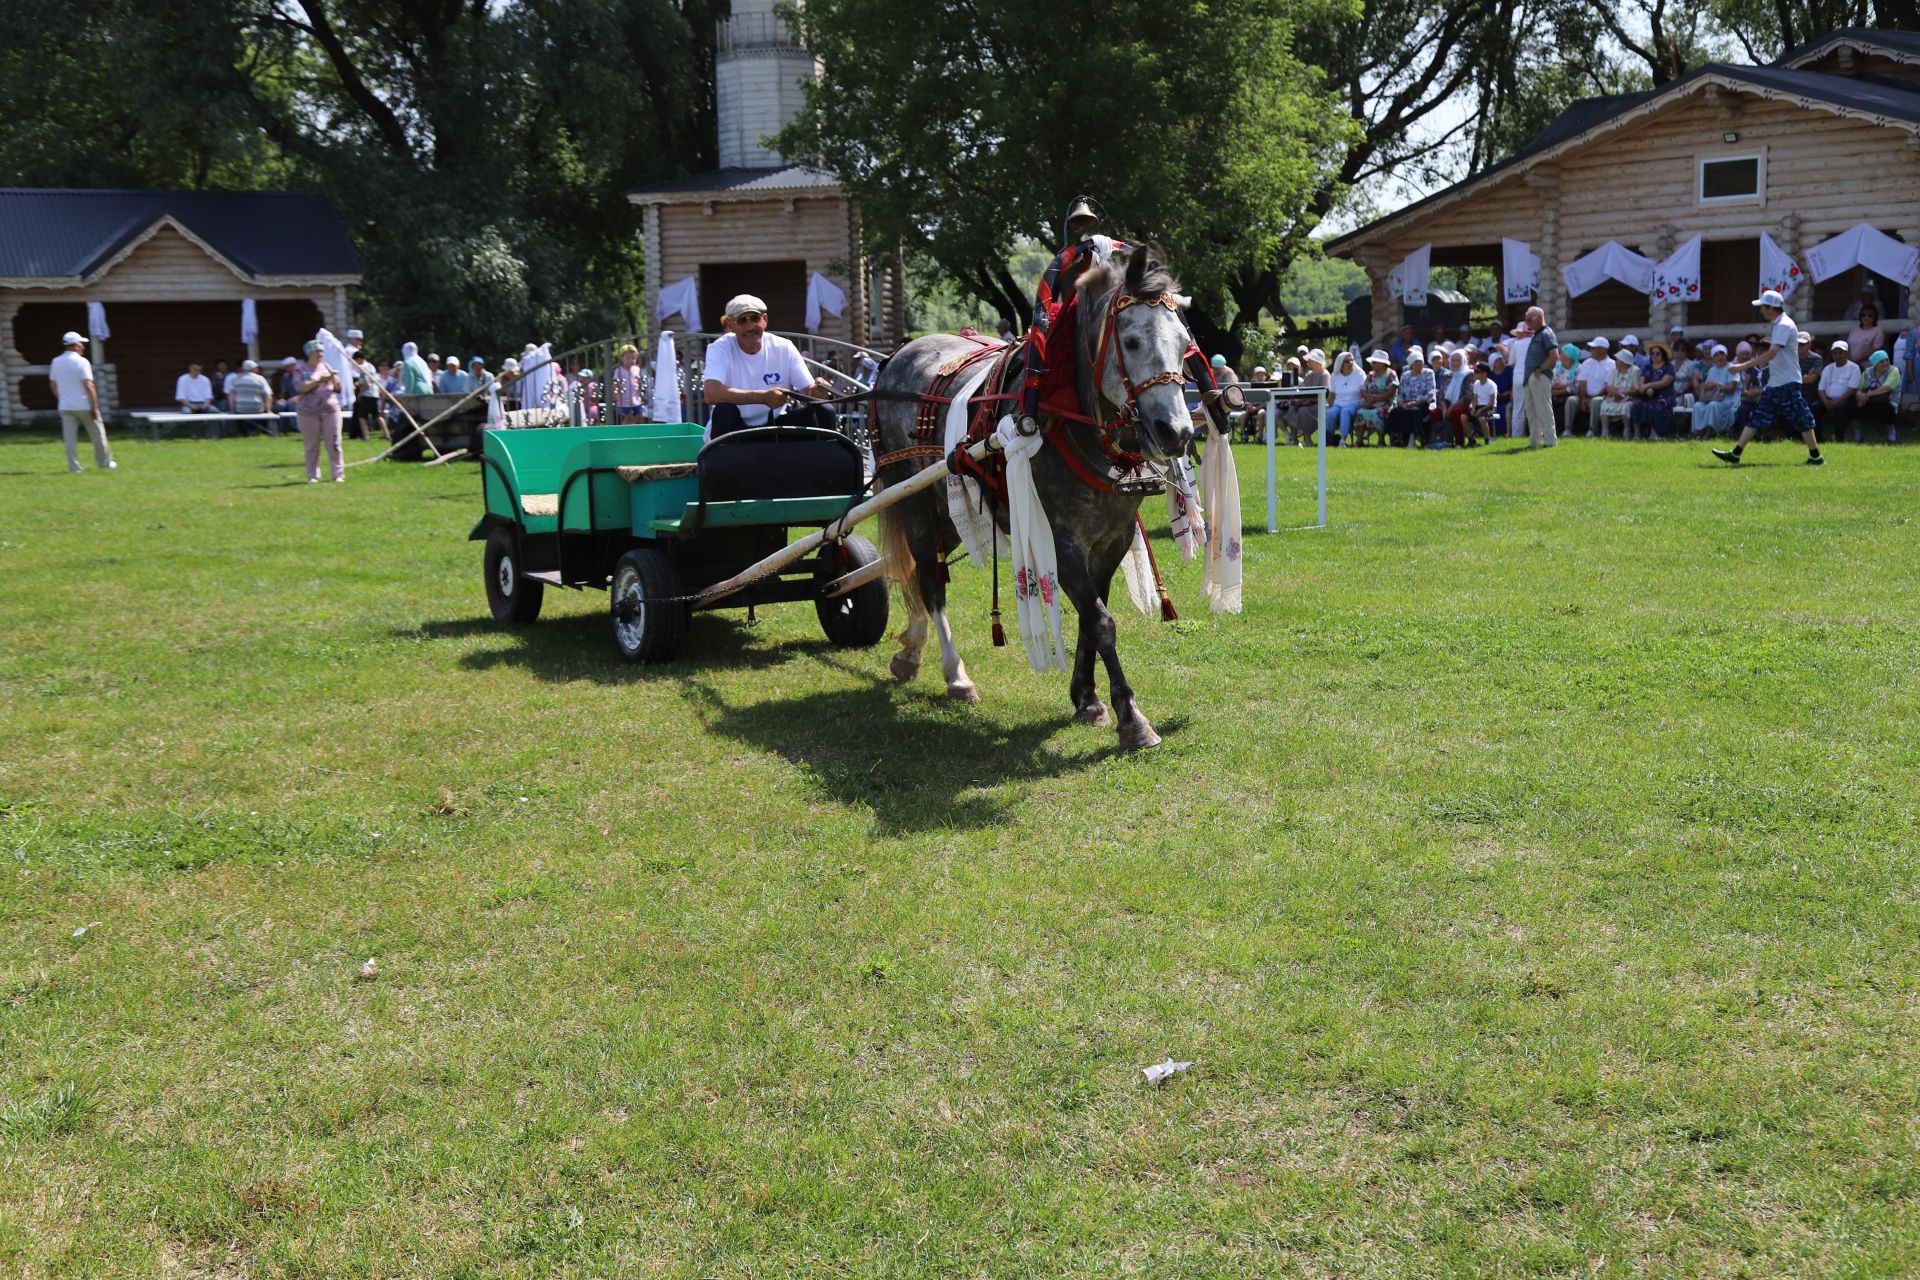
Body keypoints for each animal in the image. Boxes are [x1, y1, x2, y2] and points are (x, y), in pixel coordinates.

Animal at [875, 239, 1198, 752]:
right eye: (1131, 342)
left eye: (1184, 344)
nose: (1177, 432)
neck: (1067, 414)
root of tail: (898, 355)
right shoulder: (1060, 540)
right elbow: (1101, 621)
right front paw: (1131, 718)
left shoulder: (1112, 538)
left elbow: (1091, 614)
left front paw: (1086, 697)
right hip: (912, 501)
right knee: (928, 578)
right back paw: (955, 675)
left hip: (951, 511)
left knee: (921, 573)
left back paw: (912, 650)